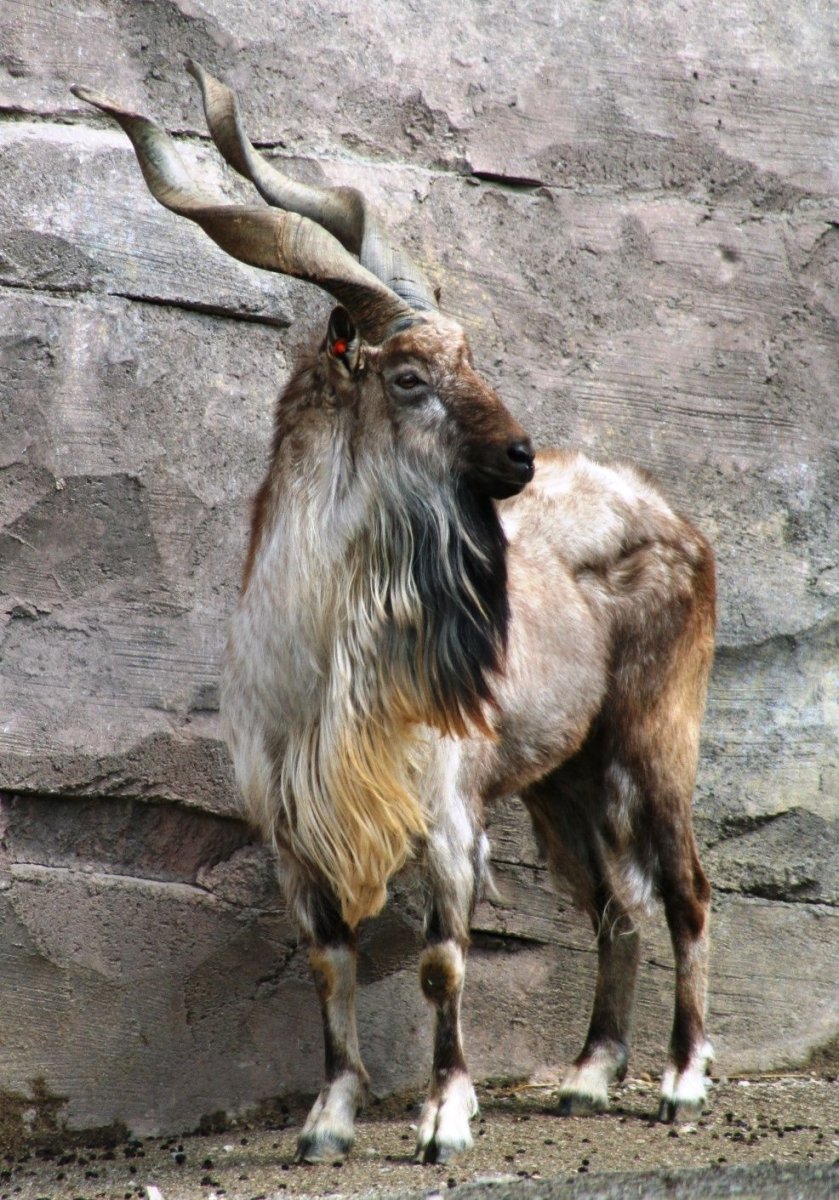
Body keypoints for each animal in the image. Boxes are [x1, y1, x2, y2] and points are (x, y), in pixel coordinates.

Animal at [74, 65, 716, 1166]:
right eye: (411, 376)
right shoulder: (292, 829)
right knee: (611, 906)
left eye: (472, 357)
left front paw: (443, 1119)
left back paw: (680, 1081)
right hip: (564, 777)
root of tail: (673, 516)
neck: (320, 657)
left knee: (682, 891)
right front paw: (325, 1123)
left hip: (651, 738)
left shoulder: (445, 814)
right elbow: (328, 963)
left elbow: (441, 964)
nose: (517, 457)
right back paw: (588, 1076)